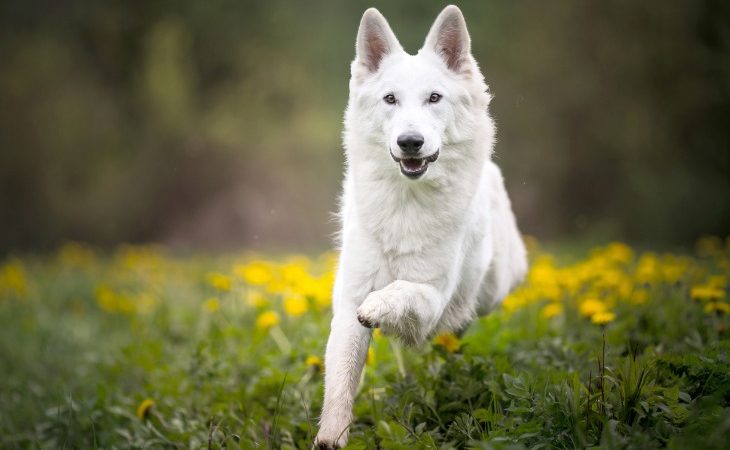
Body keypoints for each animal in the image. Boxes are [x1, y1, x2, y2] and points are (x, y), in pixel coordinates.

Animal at [312, 5, 524, 448]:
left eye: (434, 98)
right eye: (390, 99)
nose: (410, 142)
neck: (405, 206)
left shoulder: (432, 297)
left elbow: (401, 291)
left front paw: (378, 305)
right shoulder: (347, 306)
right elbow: (341, 382)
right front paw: (331, 436)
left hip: (492, 290)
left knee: (459, 320)